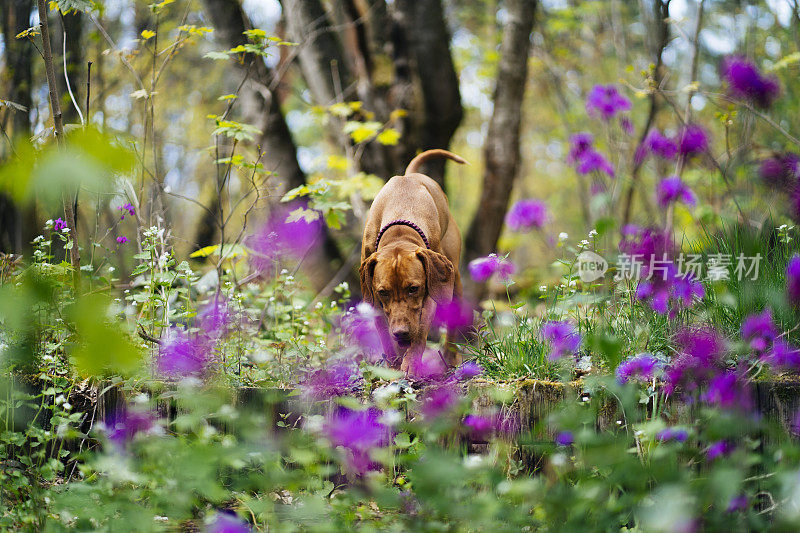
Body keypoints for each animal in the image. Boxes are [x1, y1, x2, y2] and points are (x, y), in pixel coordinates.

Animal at [360, 148, 466, 368]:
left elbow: (422, 326)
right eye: (383, 292)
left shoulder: (432, 284)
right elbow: (385, 336)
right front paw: (394, 366)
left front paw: (411, 363)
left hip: (454, 280)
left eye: (413, 289)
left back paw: (450, 357)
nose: (401, 333)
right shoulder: (373, 297)